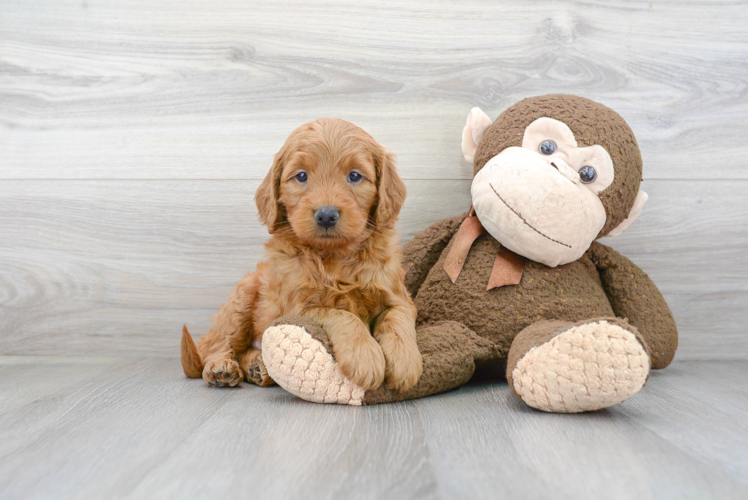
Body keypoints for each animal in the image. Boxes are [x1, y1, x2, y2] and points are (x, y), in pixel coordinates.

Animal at [183, 118, 420, 394]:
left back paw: (257, 367)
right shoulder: (298, 308)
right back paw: (221, 368)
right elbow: (342, 315)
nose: (326, 215)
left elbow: (398, 318)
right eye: (301, 176)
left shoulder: (397, 294)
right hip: (241, 298)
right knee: (216, 344)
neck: (334, 257)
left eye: (354, 176)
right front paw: (365, 357)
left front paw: (405, 361)